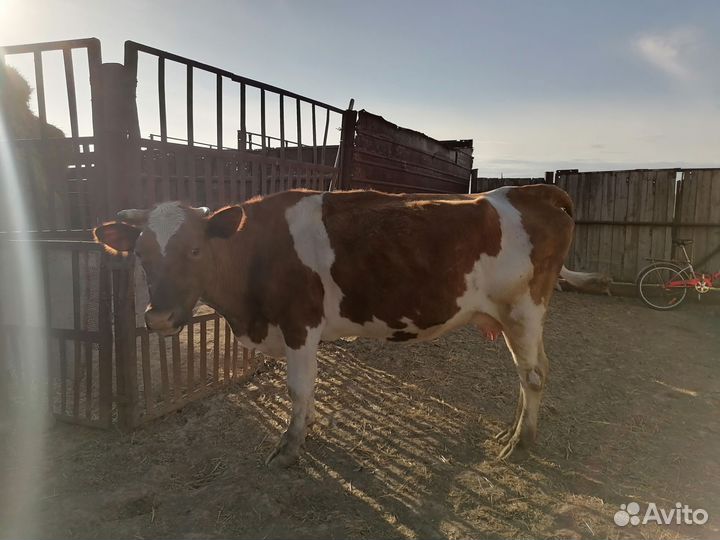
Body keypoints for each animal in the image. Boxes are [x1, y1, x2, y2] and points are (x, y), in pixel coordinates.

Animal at [93, 184, 574, 467]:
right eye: (140, 255)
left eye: (194, 250)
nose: (158, 317)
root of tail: (527, 190)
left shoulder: (299, 323)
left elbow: (299, 388)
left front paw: (290, 447)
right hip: (516, 318)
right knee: (533, 371)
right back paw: (512, 430)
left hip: (522, 309)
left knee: (532, 374)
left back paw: (521, 442)